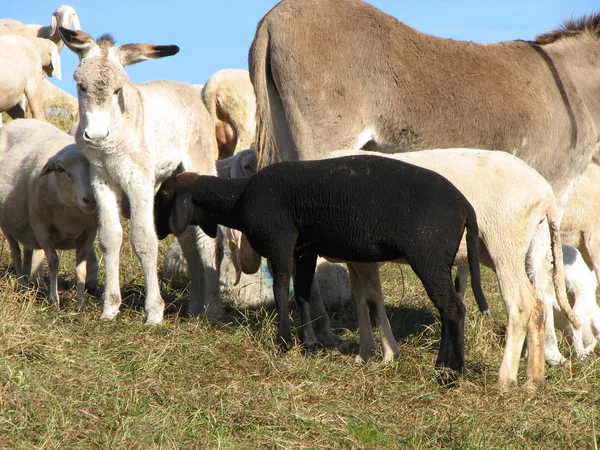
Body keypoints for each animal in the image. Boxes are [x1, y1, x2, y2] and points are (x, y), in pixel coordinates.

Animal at [0, 118, 97, 310]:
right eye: (60, 169)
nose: (90, 200)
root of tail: (21, 120)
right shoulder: (42, 228)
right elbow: (53, 261)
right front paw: (54, 298)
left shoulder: (89, 232)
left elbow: (81, 269)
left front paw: (81, 304)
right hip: (7, 225)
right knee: (15, 251)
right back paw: (22, 283)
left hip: (26, 228)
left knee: (28, 251)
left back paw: (30, 282)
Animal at [152, 155, 486, 376]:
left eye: (165, 194)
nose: (154, 229)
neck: (239, 197)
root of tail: (465, 207)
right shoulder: (304, 250)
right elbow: (301, 292)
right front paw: (308, 344)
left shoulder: (279, 239)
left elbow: (280, 288)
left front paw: (284, 342)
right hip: (436, 258)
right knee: (448, 309)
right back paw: (445, 366)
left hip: (428, 255)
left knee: (453, 308)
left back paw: (450, 374)